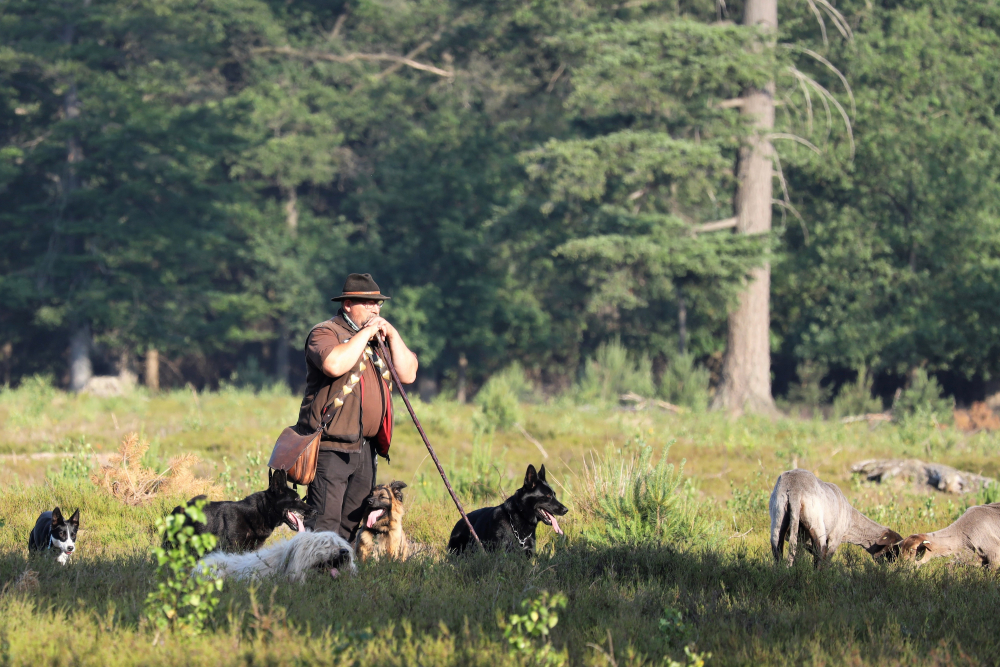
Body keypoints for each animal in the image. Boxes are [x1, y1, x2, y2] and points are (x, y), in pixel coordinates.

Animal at [768, 468, 904, 568]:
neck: (851, 521)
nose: (893, 566)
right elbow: (827, 557)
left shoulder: (801, 538)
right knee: (820, 552)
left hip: (778, 516)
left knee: (777, 549)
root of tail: (794, 490)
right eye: (893, 550)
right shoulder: (836, 536)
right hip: (816, 523)